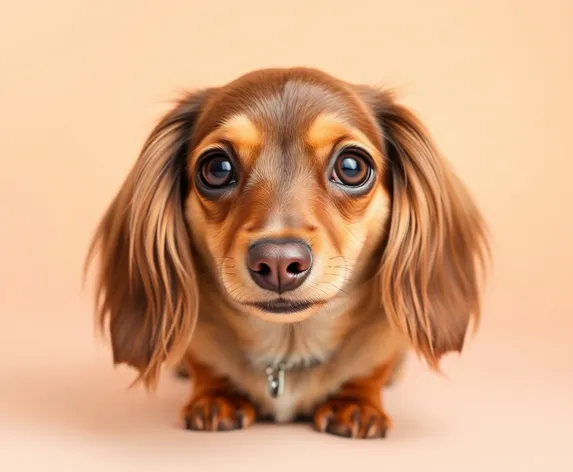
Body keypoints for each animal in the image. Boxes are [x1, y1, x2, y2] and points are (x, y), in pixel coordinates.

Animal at [85, 67, 488, 438]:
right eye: (217, 167)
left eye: (352, 166)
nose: (277, 261)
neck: (287, 349)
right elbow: (206, 365)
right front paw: (217, 396)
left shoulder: (382, 341)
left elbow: (371, 369)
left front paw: (354, 403)